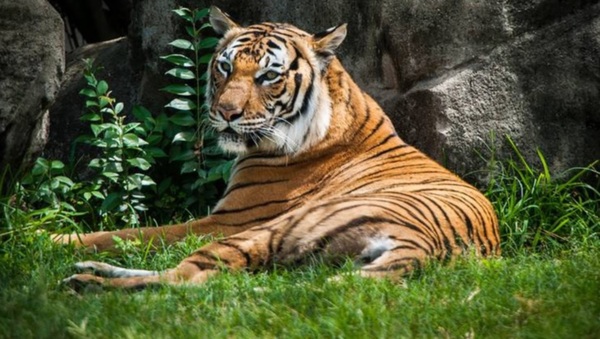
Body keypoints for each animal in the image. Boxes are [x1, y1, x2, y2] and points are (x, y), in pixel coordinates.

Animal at [62, 5, 502, 290]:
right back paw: (90, 271)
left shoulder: (228, 220)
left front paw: (56, 240)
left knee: (188, 281)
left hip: (273, 228)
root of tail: (425, 249)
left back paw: (85, 280)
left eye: (268, 76)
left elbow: (130, 232)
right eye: (225, 67)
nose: (225, 113)